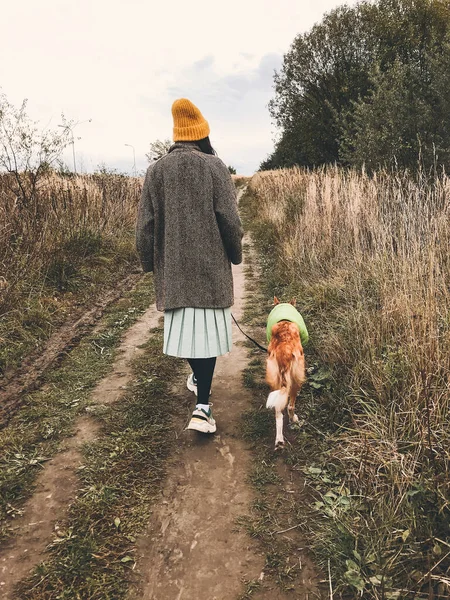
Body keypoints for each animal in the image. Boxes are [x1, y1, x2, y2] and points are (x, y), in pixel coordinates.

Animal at [266, 296, 308, 450]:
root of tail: (284, 351)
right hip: (297, 378)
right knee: (290, 406)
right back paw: (294, 419)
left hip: (276, 380)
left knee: (278, 413)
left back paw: (279, 440)